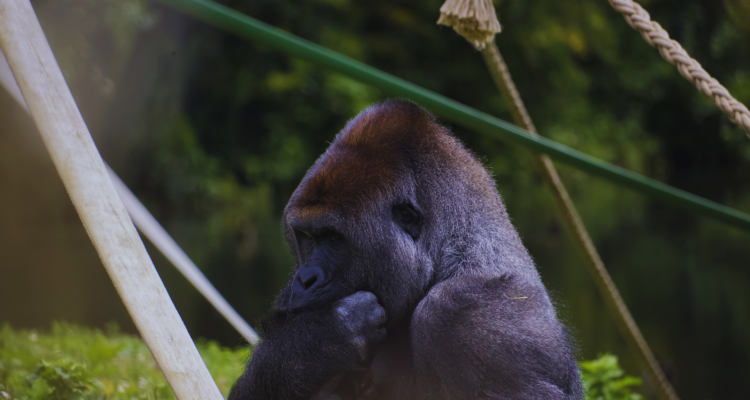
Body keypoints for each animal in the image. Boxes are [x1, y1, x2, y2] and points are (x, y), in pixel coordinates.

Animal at [229, 100, 583, 400]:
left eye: (334, 239)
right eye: (307, 236)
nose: (305, 280)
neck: (446, 253)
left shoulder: (465, 316)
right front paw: (321, 339)